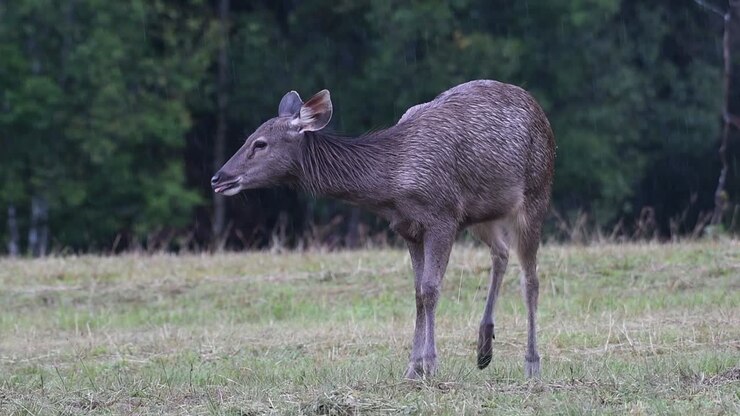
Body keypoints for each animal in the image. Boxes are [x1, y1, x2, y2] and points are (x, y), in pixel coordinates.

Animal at [211, 80, 555, 379]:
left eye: (260, 143)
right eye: (249, 137)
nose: (219, 177)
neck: (391, 188)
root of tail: (541, 112)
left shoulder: (443, 216)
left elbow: (431, 289)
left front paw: (430, 365)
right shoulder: (408, 228)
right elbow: (417, 293)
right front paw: (413, 368)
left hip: (536, 193)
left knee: (531, 280)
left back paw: (532, 363)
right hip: (484, 214)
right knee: (501, 253)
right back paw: (484, 348)